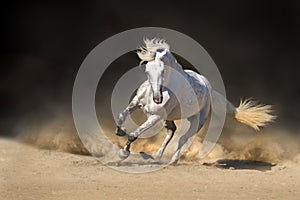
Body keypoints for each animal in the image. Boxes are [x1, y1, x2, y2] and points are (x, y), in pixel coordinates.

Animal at [116, 38, 276, 164]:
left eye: (163, 71)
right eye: (147, 71)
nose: (157, 99)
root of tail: (209, 89)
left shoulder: (155, 117)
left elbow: (134, 134)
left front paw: (123, 153)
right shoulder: (136, 103)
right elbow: (122, 115)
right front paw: (120, 131)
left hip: (196, 121)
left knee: (183, 138)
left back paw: (172, 160)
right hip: (167, 118)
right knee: (171, 131)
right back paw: (157, 156)